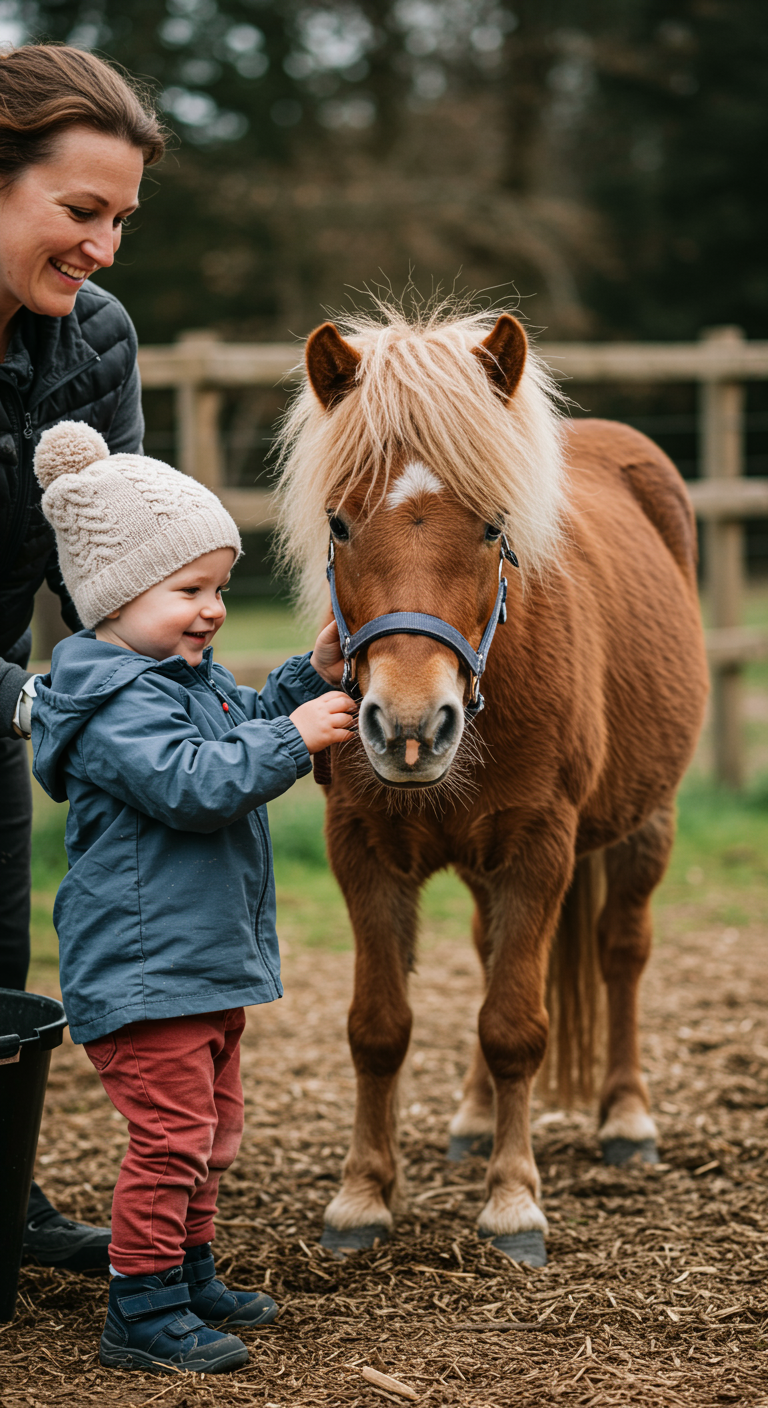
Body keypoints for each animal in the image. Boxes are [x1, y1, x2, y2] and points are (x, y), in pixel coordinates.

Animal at [274, 303, 708, 1267]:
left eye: (489, 527)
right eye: (340, 525)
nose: (409, 724)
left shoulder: (541, 849)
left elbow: (516, 1027)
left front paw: (513, 1205)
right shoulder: (362, 850)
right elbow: (378, 1027)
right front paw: (362, 1197)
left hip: (648, 824)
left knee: (623, 951)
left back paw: (627, 1120)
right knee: (485, 955)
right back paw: (473, 1119)